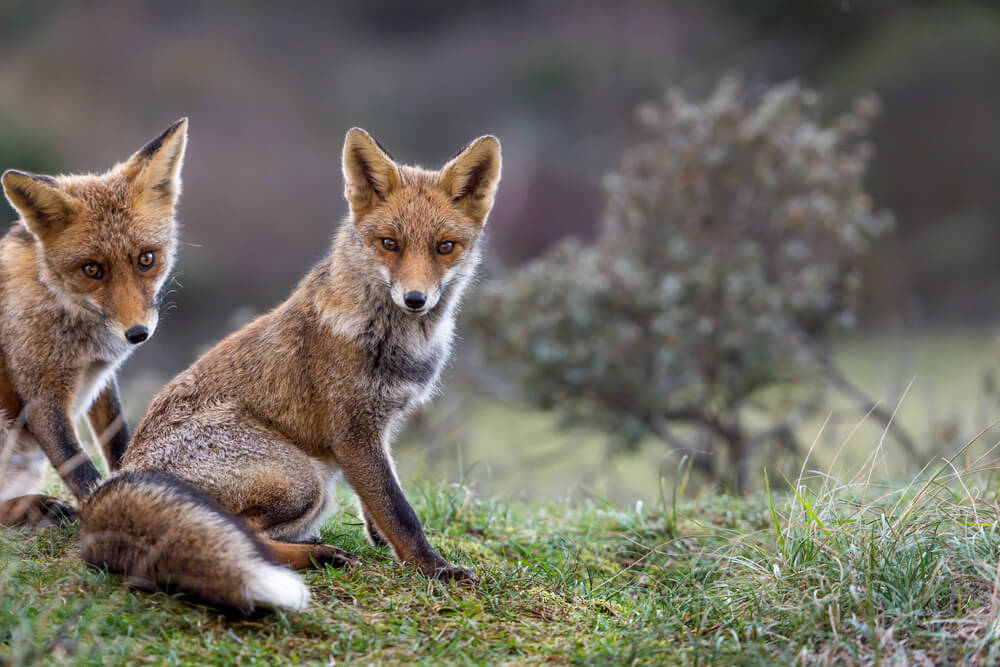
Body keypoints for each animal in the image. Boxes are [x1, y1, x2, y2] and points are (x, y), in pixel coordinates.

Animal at [0, 120, 188, 528]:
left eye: (146, 259)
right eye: (92, 270)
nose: (137, 334)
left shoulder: (102, 378)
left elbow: (119, 444)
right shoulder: (41, 395)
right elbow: (81, 470)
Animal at [79, 129, 504, 616]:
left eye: (444, 247)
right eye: (389, 243)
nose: (415, 299)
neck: (391, 337)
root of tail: (116, 481)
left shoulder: (379, 427)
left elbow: (379, 497)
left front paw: (381, 539)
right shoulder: (352, 431)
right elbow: (400, 510)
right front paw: (432, 567)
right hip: (302, 481)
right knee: (239, 532)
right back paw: (319, 556)